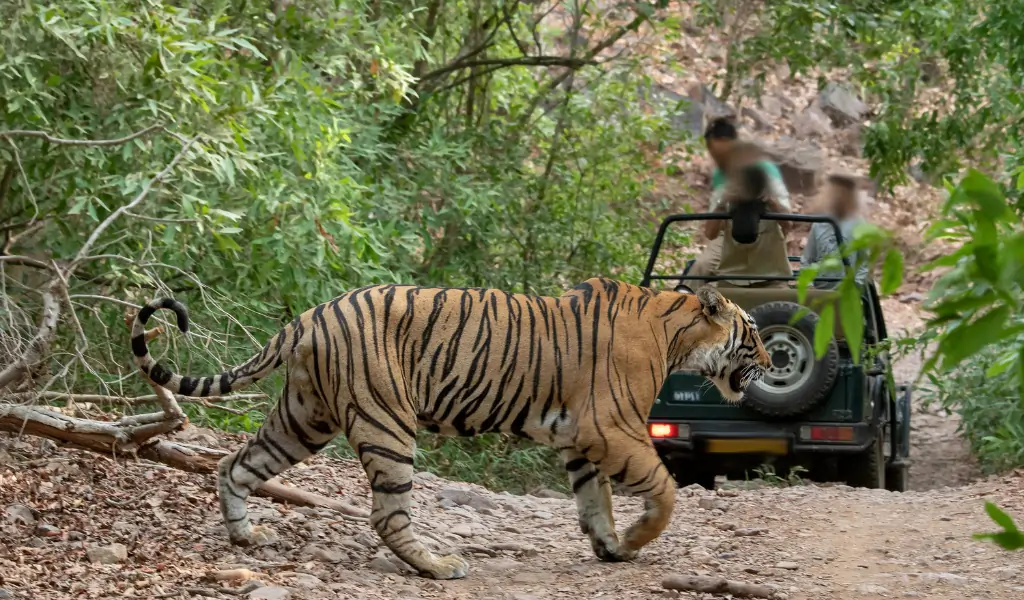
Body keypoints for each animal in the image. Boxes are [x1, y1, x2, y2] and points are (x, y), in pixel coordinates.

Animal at [130, 278, 770, 580]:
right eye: (754, 335)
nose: (772, 361)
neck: (677, 335)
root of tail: (310, 315)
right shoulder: (611, 429)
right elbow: (662, 490)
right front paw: (635, 540)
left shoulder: (580, 438)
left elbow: (596, 500)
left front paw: (610, 545)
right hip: (387, 421)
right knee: (387, 515)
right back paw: (438, 566)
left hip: (303, 417)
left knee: (234, 465)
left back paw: (247, 537)